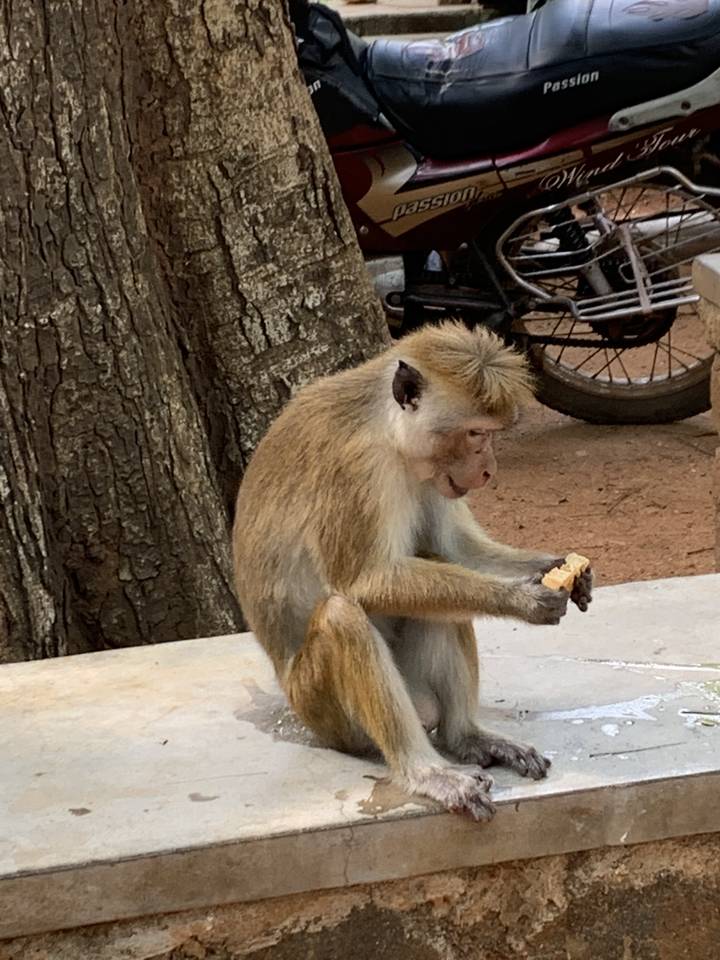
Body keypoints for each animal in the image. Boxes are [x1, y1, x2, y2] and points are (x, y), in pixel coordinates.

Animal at [233, 321, 593, 821]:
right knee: (342, 617)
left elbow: (453, 548)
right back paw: (425, 771)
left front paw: (556, 567)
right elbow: (366, 581)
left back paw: (466, 736)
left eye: (489, 433)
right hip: (323, 711)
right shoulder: (357, 470)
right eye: (476, 432)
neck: (388, 432)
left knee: (438, 587)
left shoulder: (432, 476)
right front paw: (521, 598)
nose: (489, 470)